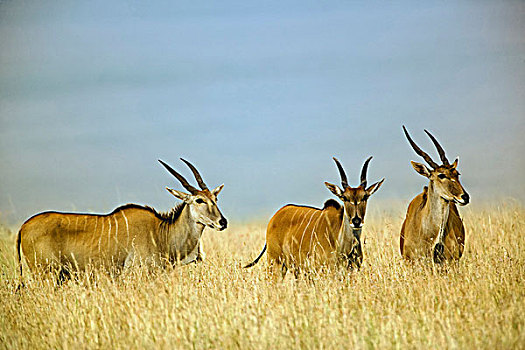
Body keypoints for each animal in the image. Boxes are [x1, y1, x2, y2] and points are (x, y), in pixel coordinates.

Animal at [15, 159, 225, 282]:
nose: (223, 222)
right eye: (199, 200)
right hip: (46, 273)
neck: (160, 232)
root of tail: (23, 227)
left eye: (215, 198)